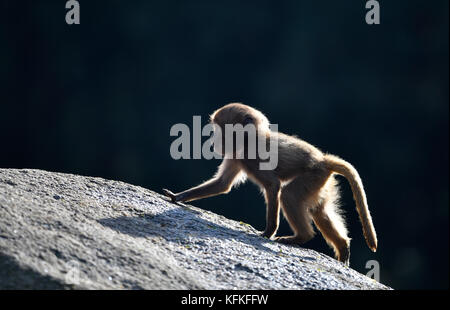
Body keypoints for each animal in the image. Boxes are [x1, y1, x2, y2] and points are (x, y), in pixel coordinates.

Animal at [162, 103, 376, 262]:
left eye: (219, 130)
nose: (214, 142)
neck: (250, 138)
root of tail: (323, 160)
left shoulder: (251, 158)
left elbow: (273, 185)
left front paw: (268, 232)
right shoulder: (237, 156)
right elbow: (223, 184)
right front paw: (177, 196)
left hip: (312, 176)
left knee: (289, 196)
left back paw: (302, 237)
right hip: (321, 181)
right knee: (319, 210)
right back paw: (343, 246)